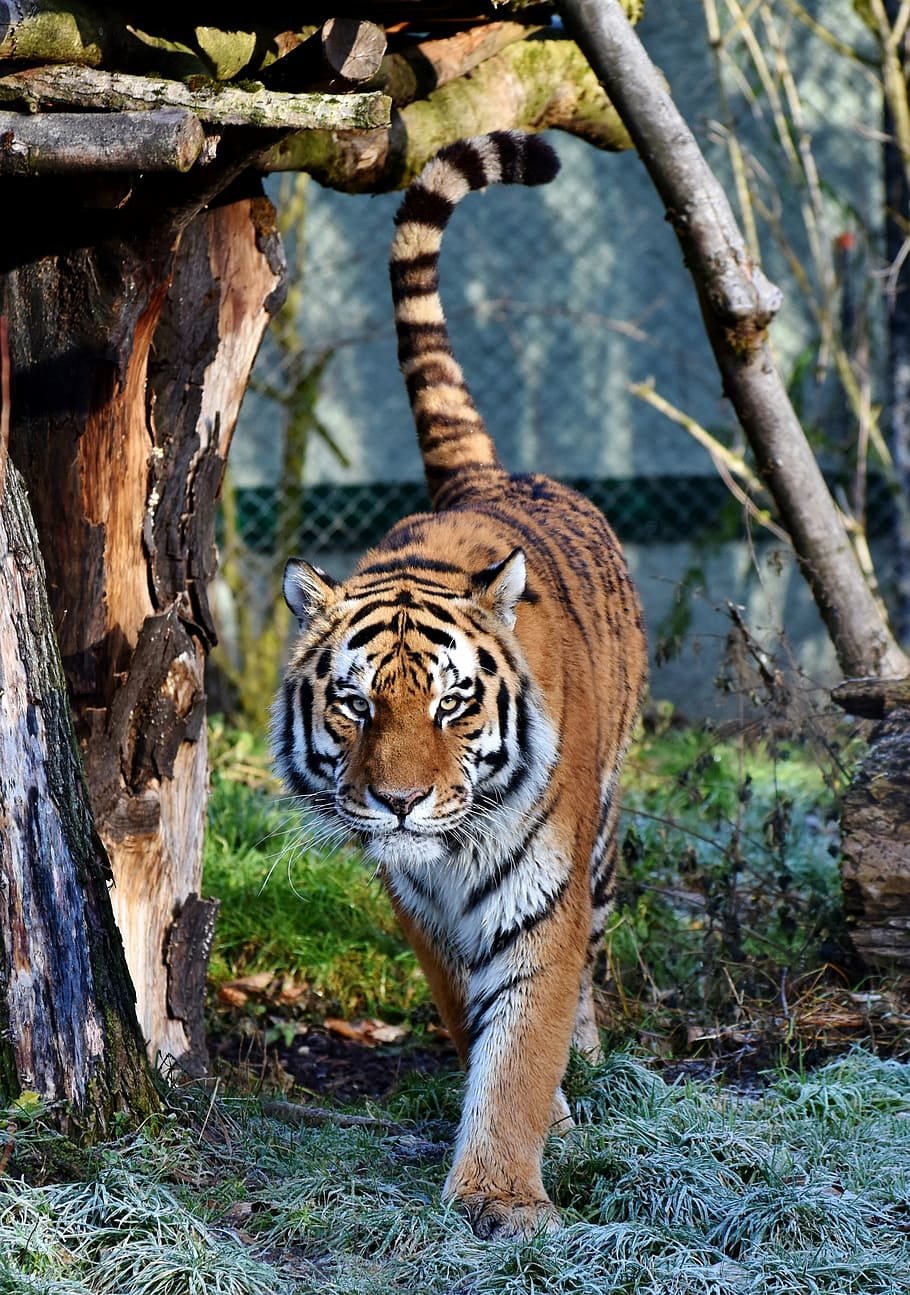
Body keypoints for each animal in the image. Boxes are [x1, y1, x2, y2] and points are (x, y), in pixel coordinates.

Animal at [273, 131, 646, 1239]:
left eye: (452, 701)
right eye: (354, 701)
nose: (398, 801)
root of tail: (486, 477)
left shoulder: (544, 895)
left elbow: (523, 1039)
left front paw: (502, 1195)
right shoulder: (417, 903)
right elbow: (469, 1011)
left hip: (606, 833)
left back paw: (590, 1058)